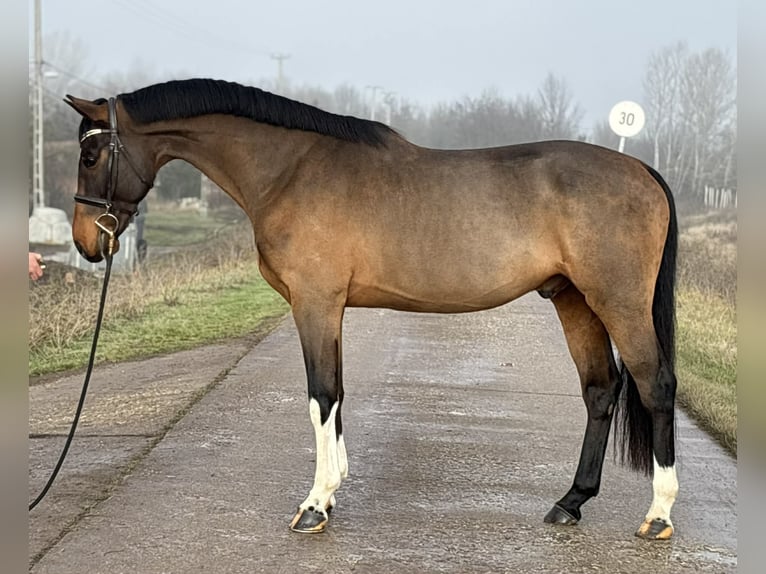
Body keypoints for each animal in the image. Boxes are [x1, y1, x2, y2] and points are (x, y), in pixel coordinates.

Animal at [65, 79, 678, 540]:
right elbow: (335, 394)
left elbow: (320, 395)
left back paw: (658, 515)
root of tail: (642, 172)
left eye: (91, 155)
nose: (86, 244)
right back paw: (570, 502)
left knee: (655, 384)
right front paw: (332, 493)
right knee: (600, 389)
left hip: (617, 302)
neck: (291, 169)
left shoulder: (315, 303)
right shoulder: (330, 308)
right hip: (573, 300)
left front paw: (314, 505)